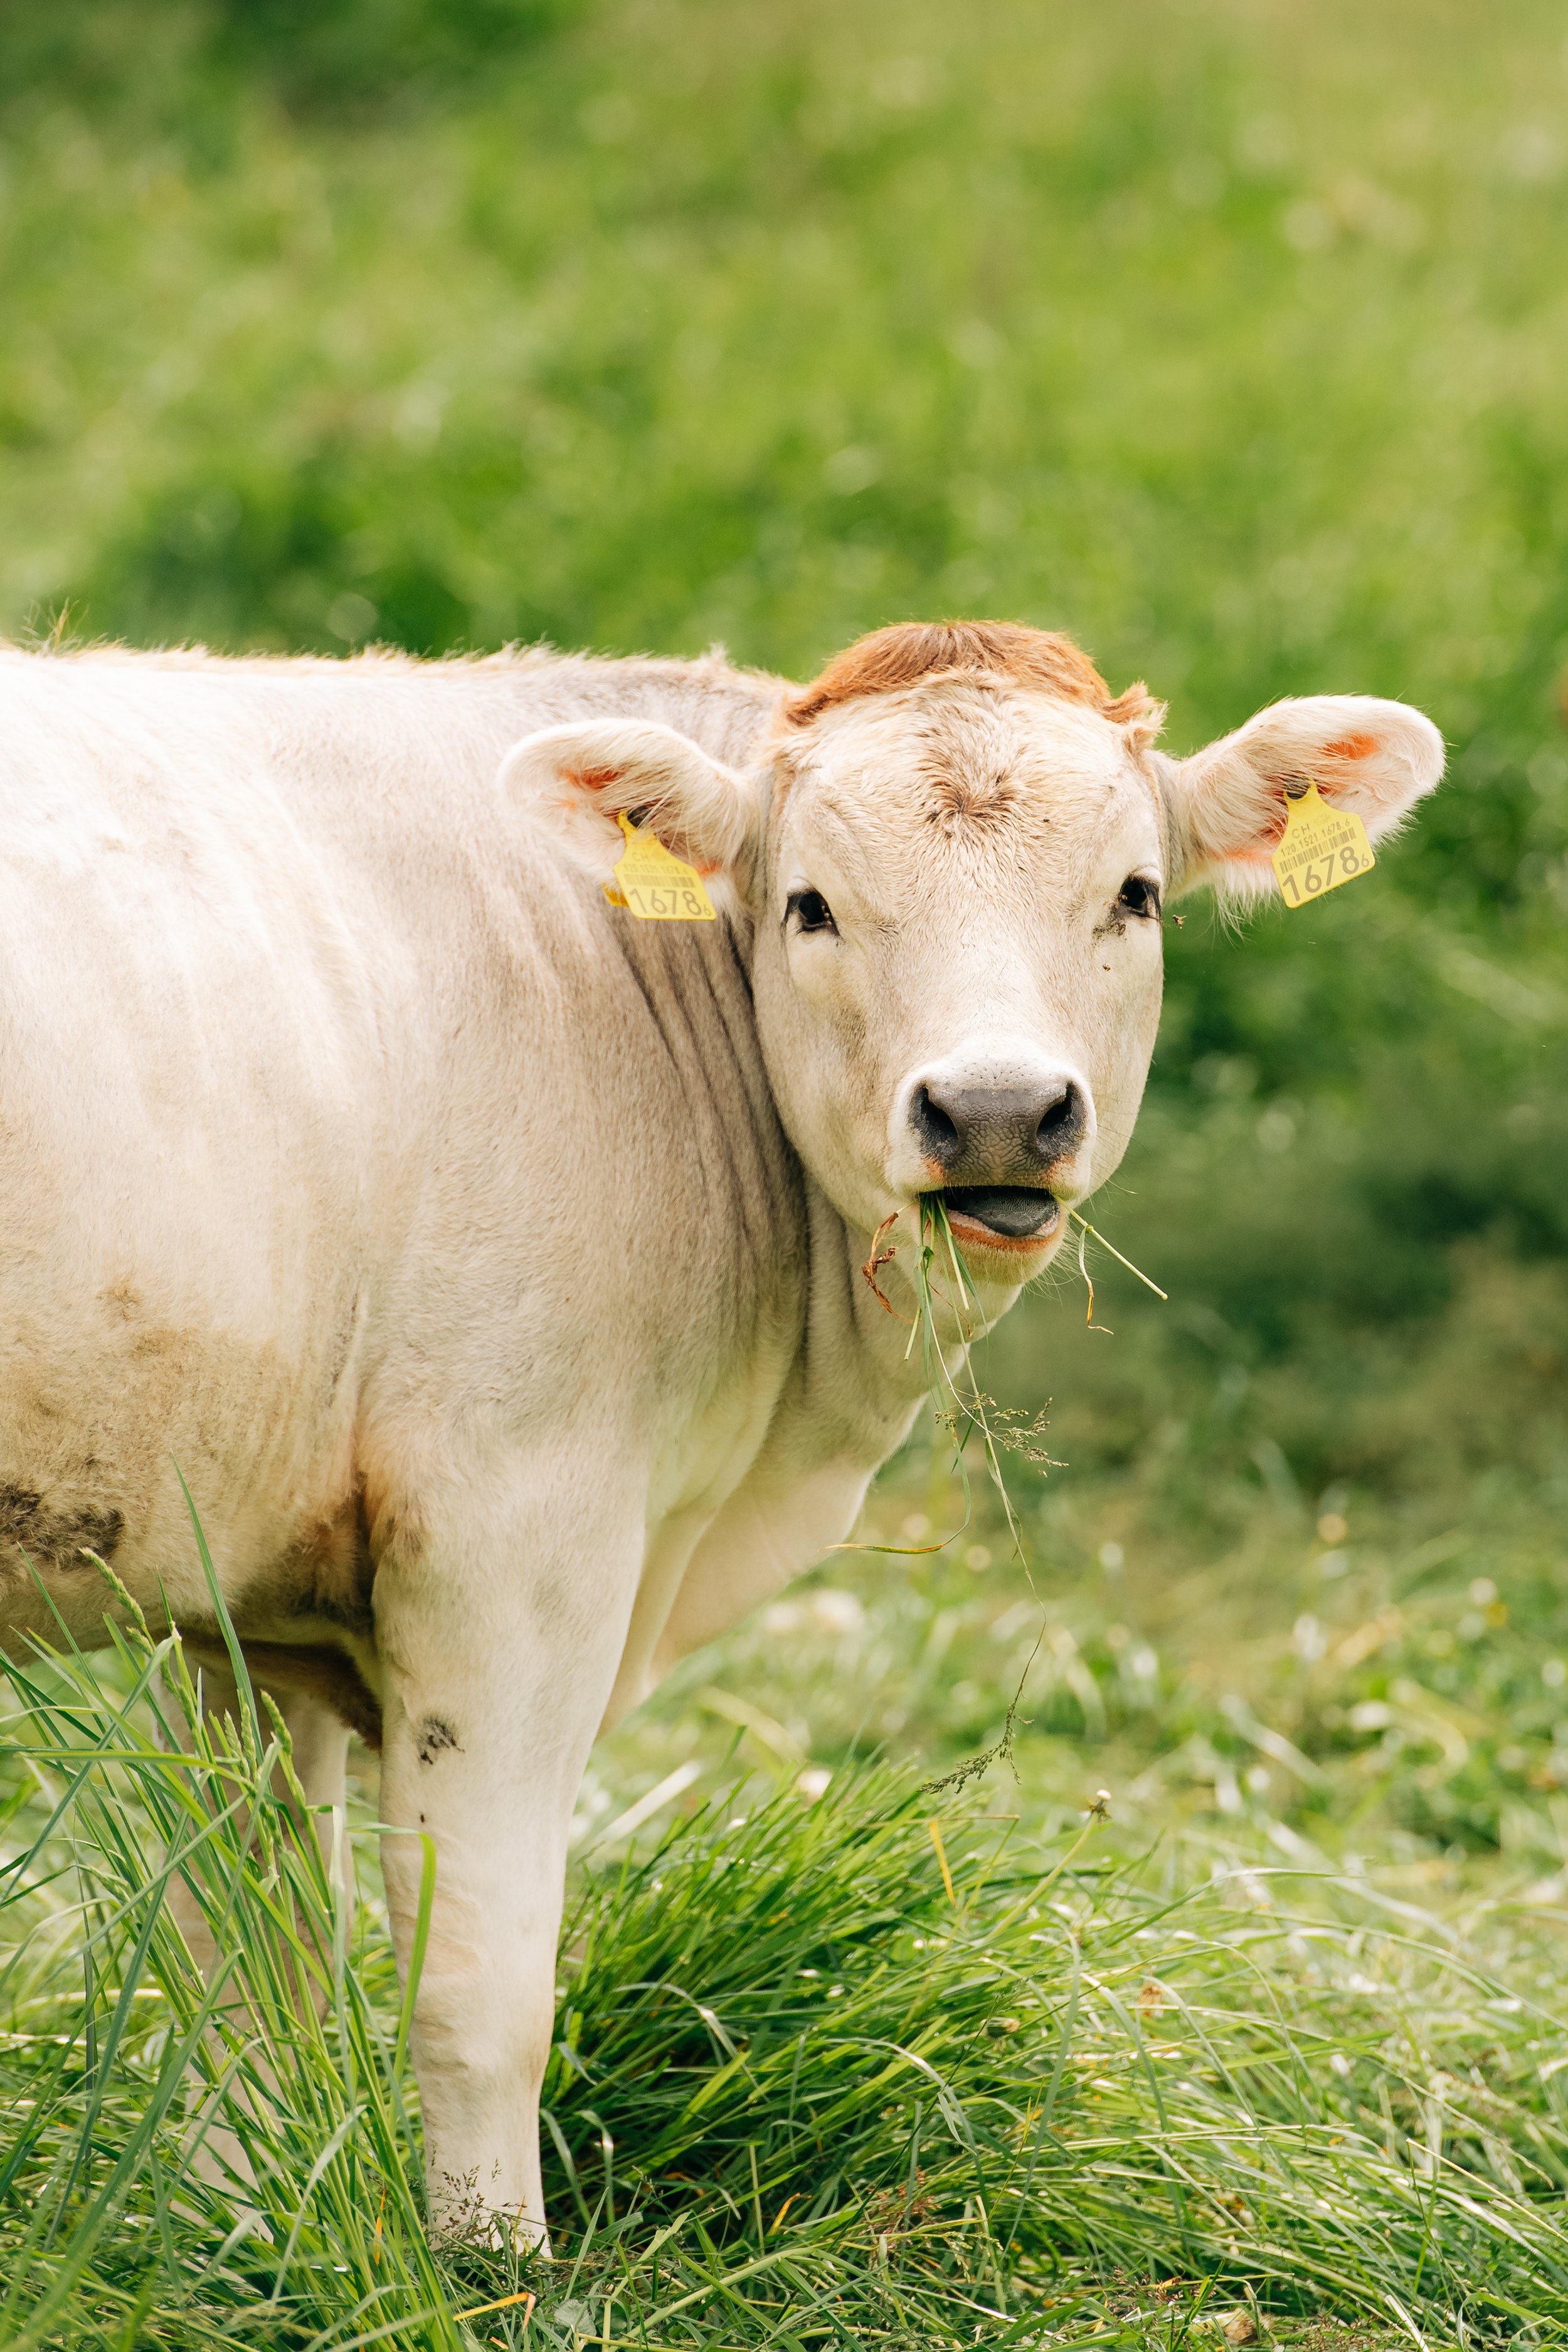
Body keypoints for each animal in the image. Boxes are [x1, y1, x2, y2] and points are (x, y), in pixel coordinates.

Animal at [0, 621, 1442, 2241]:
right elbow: (478, 1988)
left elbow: (245, 1957)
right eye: (810, 903)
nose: (994, 1110)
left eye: (1133, 893)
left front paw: (244, 2234)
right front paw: (489, 2263)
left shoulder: (245, 1582)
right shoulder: (514, 1540)